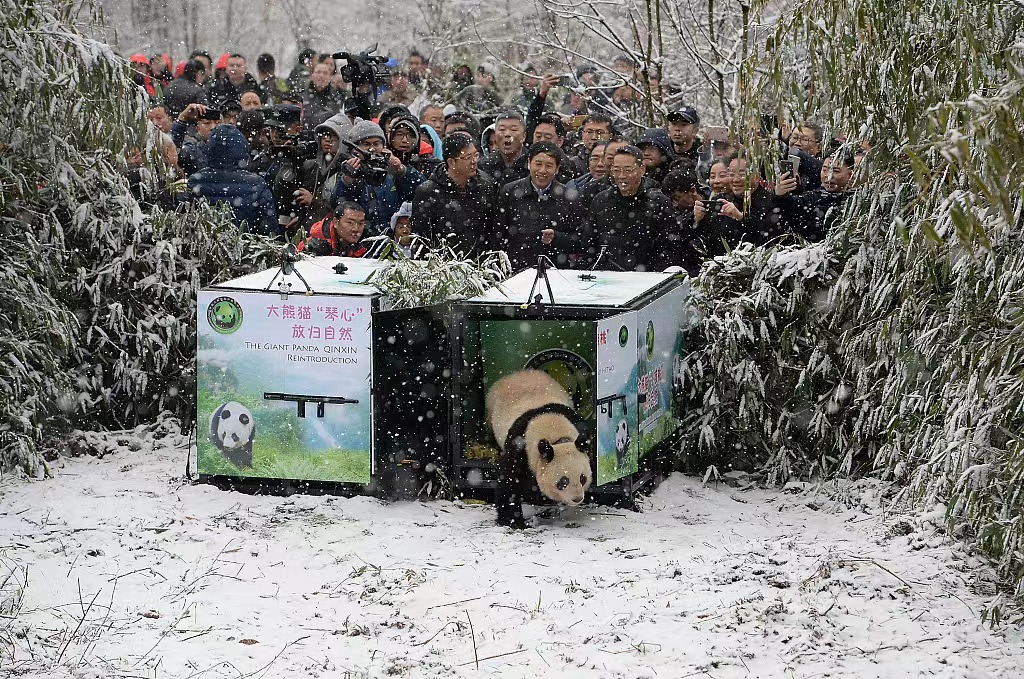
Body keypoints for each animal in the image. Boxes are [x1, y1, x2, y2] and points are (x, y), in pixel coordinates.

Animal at [486, 370, 592, 529]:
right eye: (563, 481)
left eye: (582, 477)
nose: (577, 498)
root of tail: (517, 373)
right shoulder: (519, 446)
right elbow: (509, 481)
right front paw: (513, 521)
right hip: (491, 410)